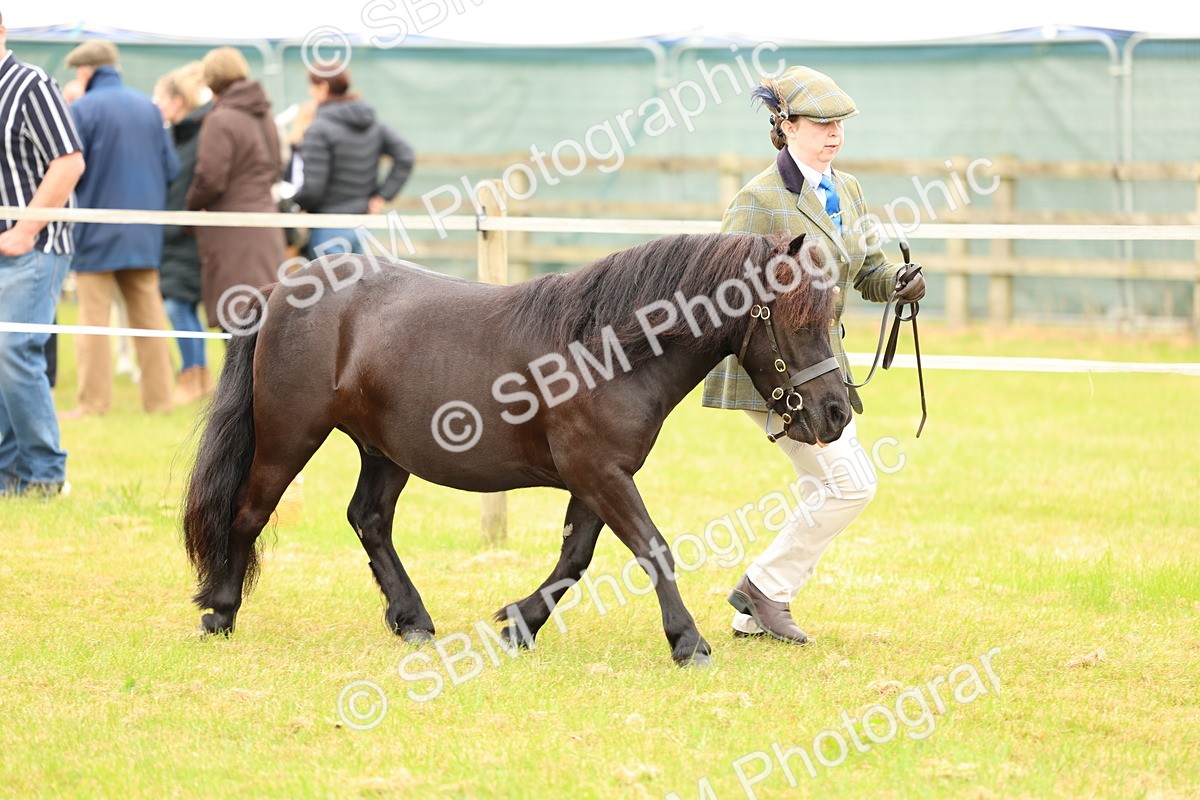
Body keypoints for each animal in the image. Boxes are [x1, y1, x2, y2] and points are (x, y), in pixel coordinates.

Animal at [182, 230, 851, 667]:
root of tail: (281, 291)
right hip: (289, 434)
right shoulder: (600, 473)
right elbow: (653, 549)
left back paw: (413, 620)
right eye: (795, 320)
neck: (608, 350)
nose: (838, 413)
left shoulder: (596, 478)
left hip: (384, 452)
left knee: (368, 519)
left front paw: (517, 625)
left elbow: (574, 561)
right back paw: (220, 611)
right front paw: (687, 642)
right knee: (248, 512)